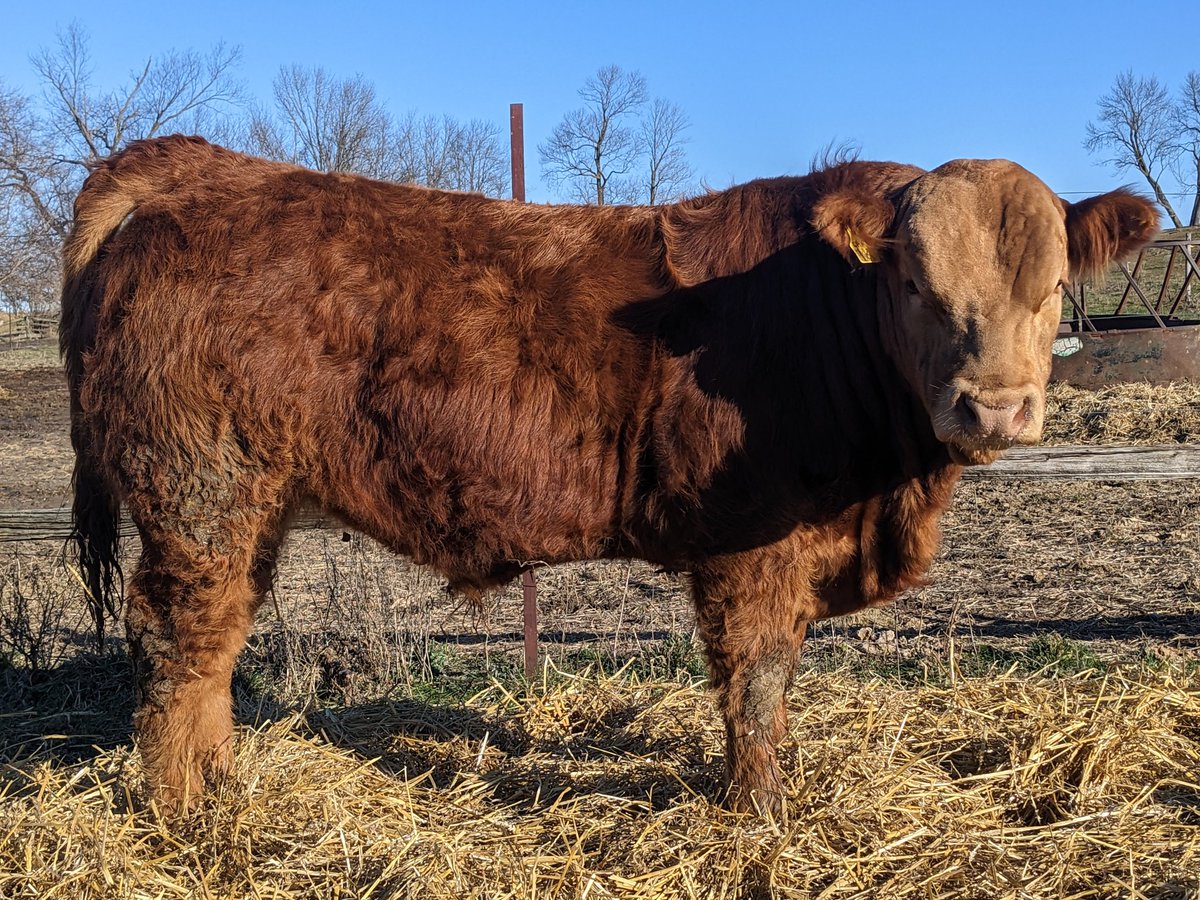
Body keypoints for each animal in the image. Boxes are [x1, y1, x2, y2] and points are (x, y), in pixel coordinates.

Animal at [60, 136, 1158, 816]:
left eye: (1053, 287)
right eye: (918, 285)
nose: (995, 407)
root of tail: (198, 168)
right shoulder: (753, 547)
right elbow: (756, 681)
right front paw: (760, 809)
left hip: (248, 504)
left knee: (216, 637)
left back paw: (219, 782)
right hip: (199, 487)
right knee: (175, 637)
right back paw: (184, 812)